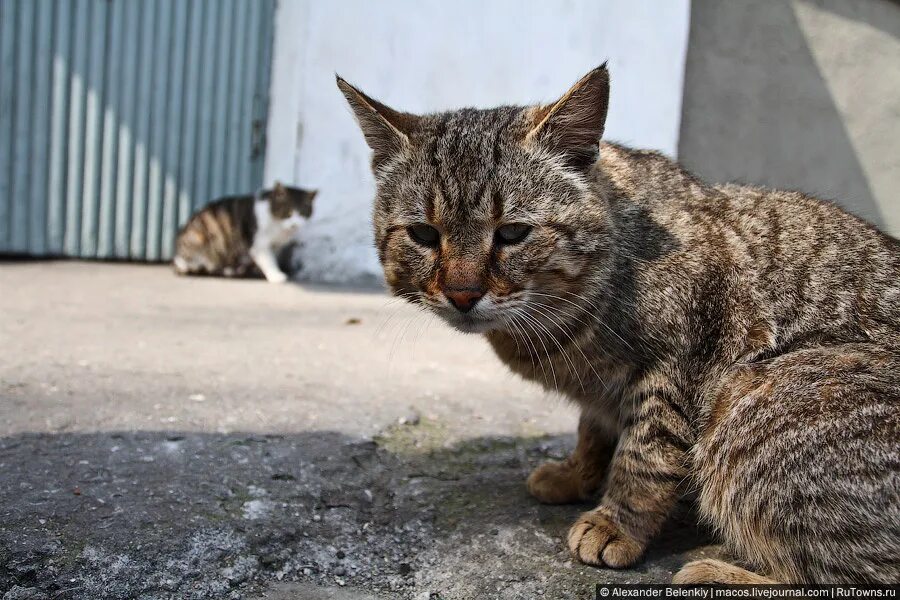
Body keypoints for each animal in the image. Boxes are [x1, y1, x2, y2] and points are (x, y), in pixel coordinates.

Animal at [173, 182, 316, 282]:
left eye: (303, 213)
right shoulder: (259, 243)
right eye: (288, 213)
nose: (294, 224)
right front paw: (275, 276)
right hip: (201, 238)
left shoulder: (275, 245)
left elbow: (272, 259)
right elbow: (267, 260)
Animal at [340, 63, 900, 584]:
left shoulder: (676, 366)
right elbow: (592, 429)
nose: (462, 293)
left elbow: (644, 459)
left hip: (761, 401)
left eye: (513, 233)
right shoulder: (602, 390)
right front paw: (576, 475)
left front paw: (614, 523)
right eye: (423, 234)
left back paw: (714, 571)